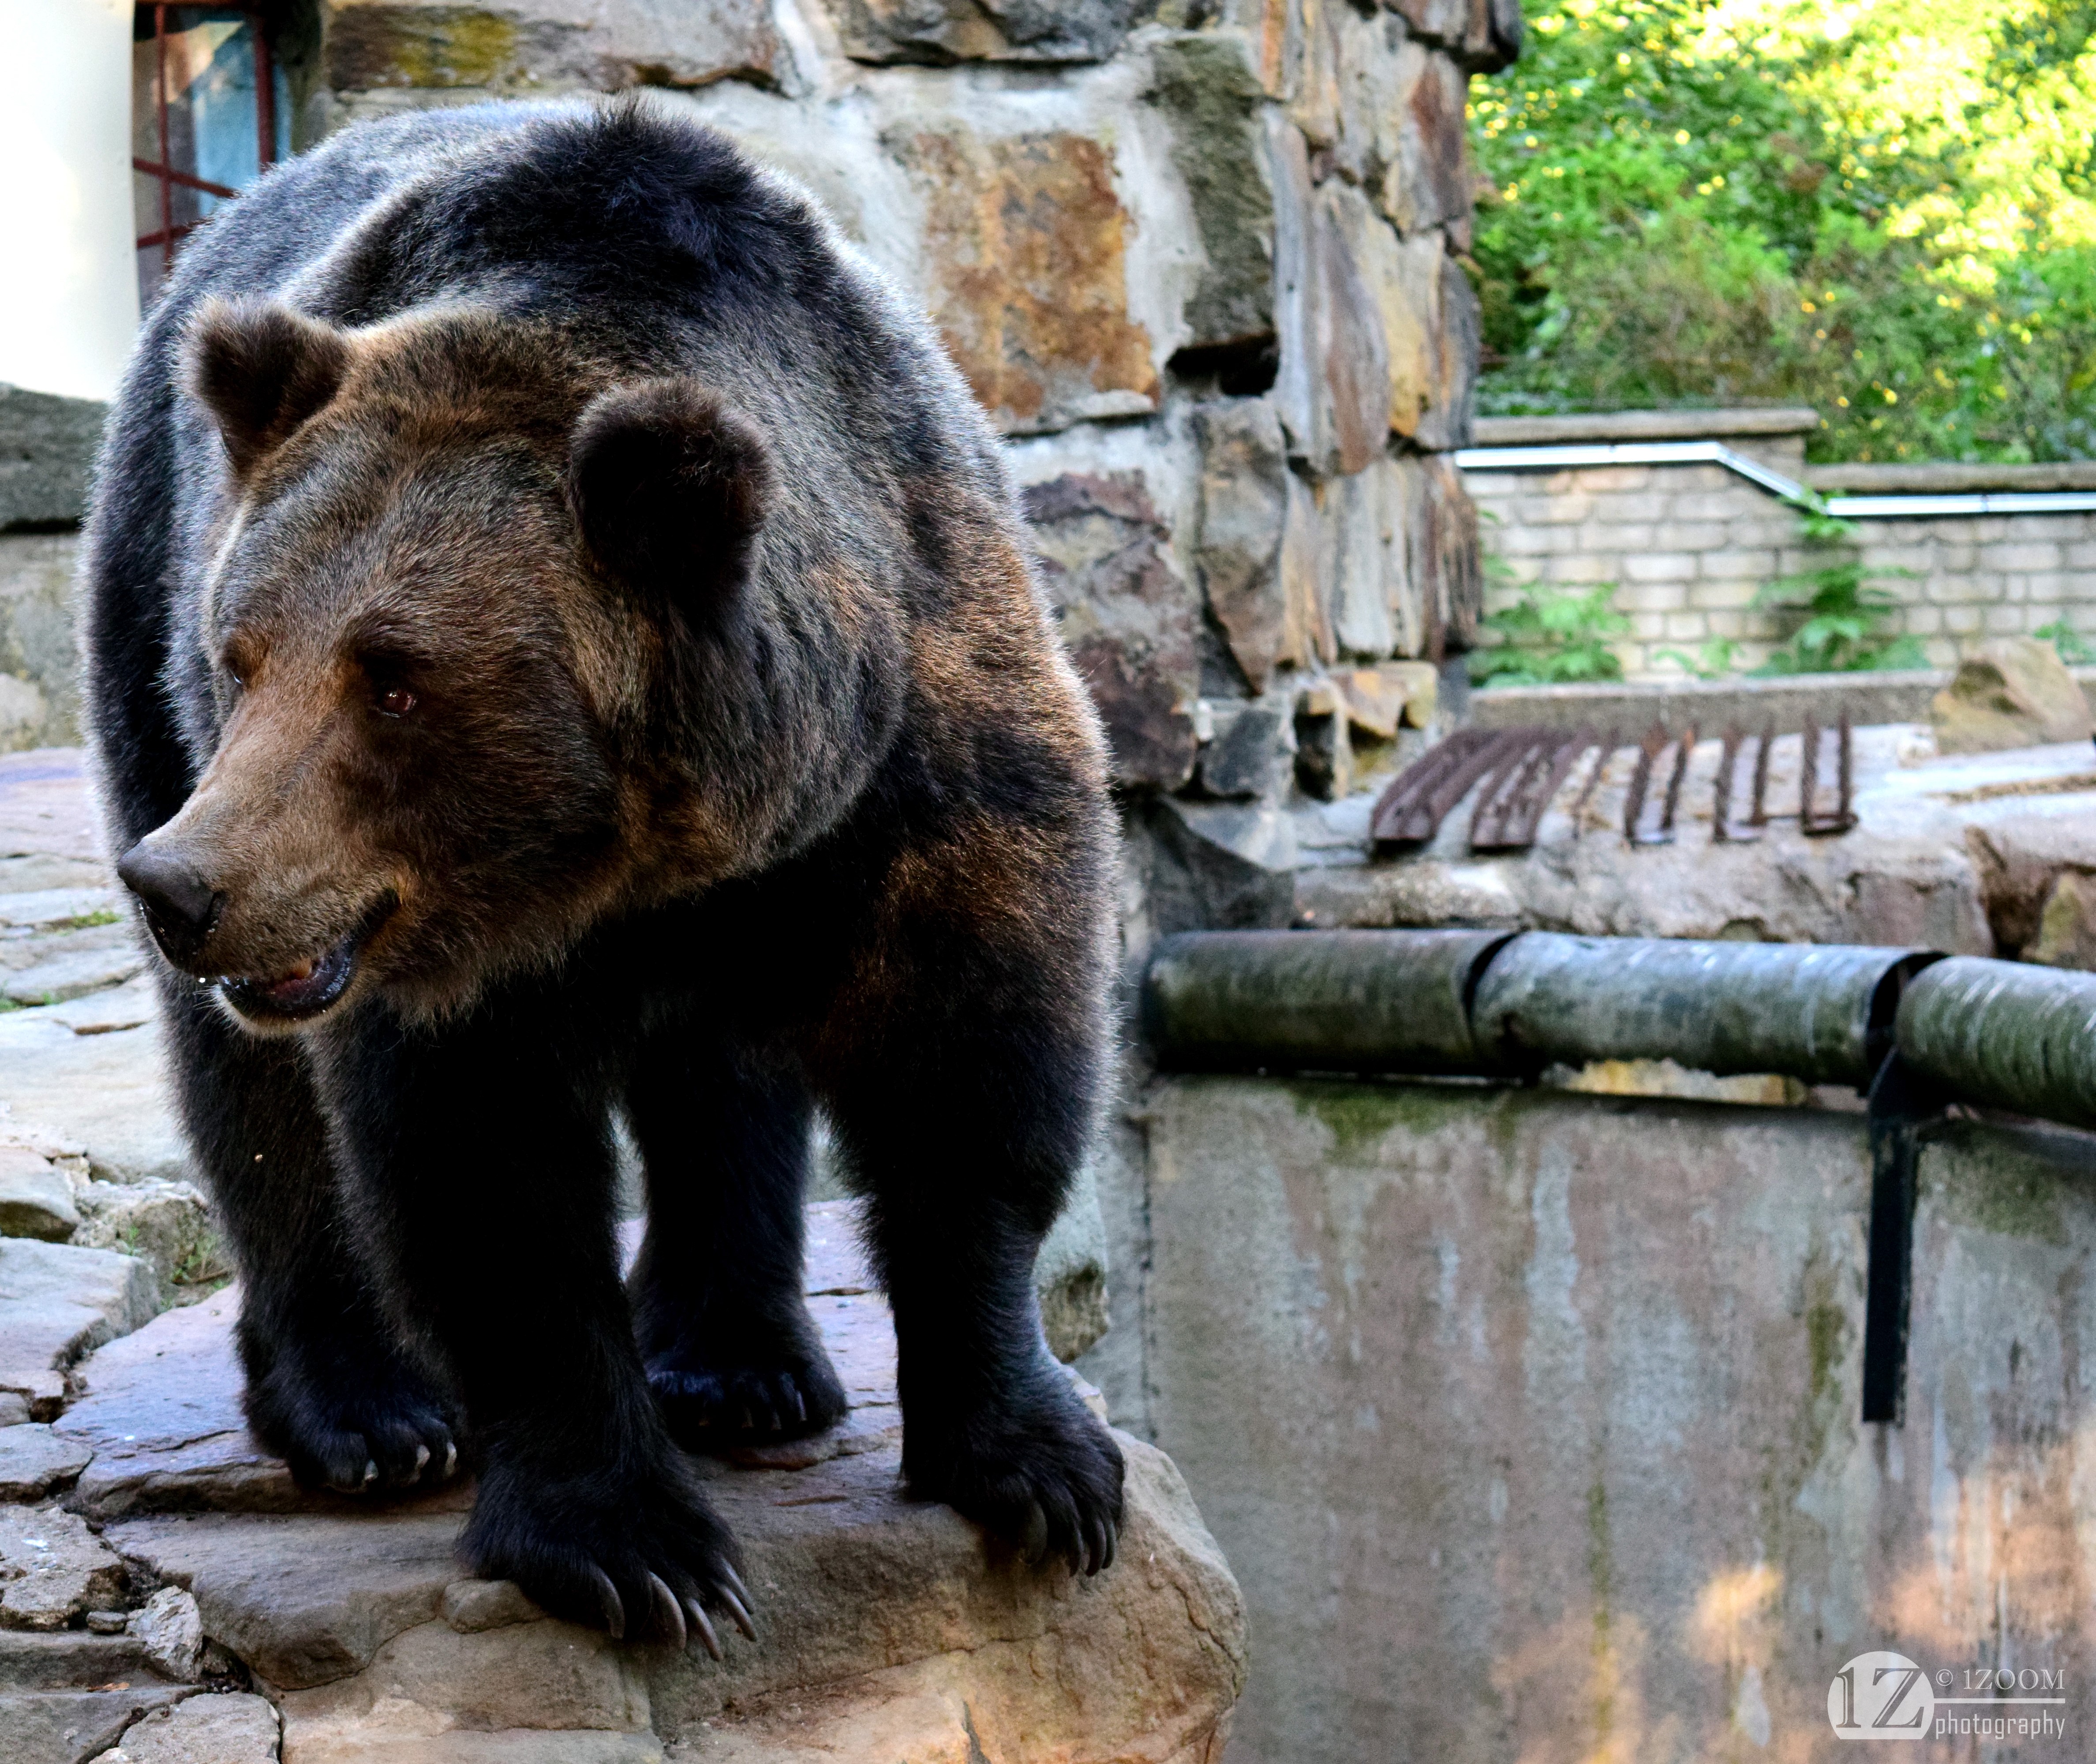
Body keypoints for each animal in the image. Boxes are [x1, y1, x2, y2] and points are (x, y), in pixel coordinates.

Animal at [81, 96, 1124, 1648]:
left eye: (395, 679)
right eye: (243, 651)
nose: (185, 888)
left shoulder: (916, 748)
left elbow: (974, 1072)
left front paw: (1040, 1463)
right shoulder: (429, 942)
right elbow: (486, 1179)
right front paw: (632, 1545)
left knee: (723, 1067)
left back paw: (743, 1360)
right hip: (146, 609)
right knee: (252, 1089)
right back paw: (367, 1407)